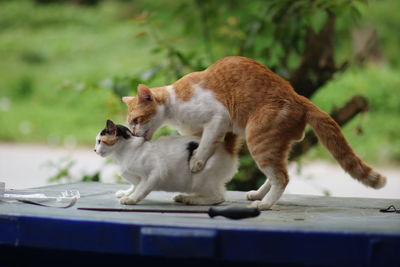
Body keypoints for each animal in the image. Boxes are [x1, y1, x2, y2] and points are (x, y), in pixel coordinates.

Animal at [94, 120, 238, 206]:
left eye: (99, 141)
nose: (94, 150)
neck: (123, 154)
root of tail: (225, 147)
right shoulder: (137, 179)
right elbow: (135, 186)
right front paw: (126, 193)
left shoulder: (154, 174)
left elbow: (141, 189)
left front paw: (131, 199)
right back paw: (184, 197)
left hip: (201, 178)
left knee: (219, 198)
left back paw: (190, 199)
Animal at [121, 57, 384, 211]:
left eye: (136, 120)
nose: (134, 133)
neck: (174, 106)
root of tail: (299, 97)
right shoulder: (202, 130)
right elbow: (203, 144)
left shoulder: (218, 119)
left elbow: (205, 146)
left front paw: (196, 163)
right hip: (273, 145)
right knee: (278, 173)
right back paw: (258, 195)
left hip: (257, 138)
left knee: (282, 177)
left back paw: (265, 204)